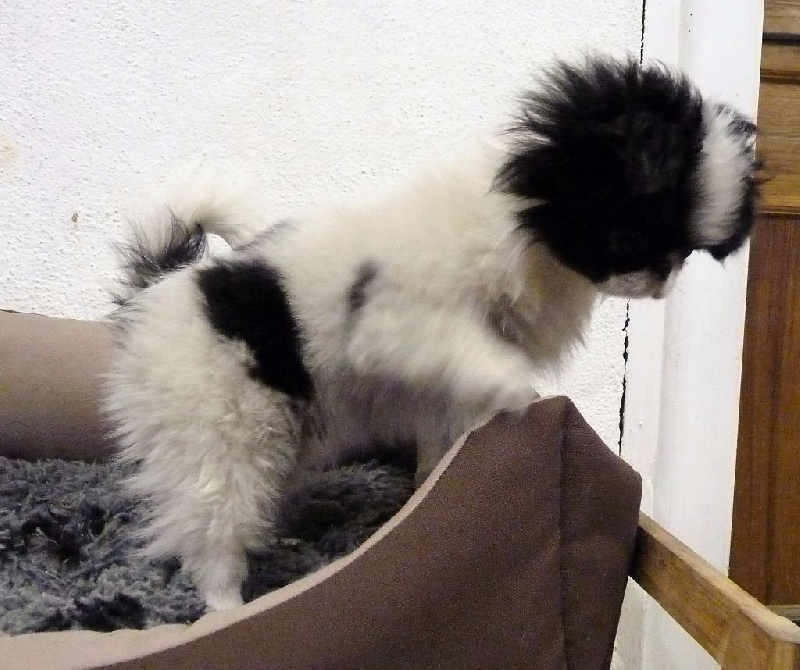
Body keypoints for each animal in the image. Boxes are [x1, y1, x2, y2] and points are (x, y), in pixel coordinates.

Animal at [104, 56, 759, 610]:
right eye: (628, 237)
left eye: (683, 253)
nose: (660, 277)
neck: (523, 231)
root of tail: (156, 288)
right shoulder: (400, 322)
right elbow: (472, 352)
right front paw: (521, 391)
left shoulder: (445, 393)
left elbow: (445, 442)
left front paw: (427, 496)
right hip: (220, 433)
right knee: (212, 526)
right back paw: (226, 607)